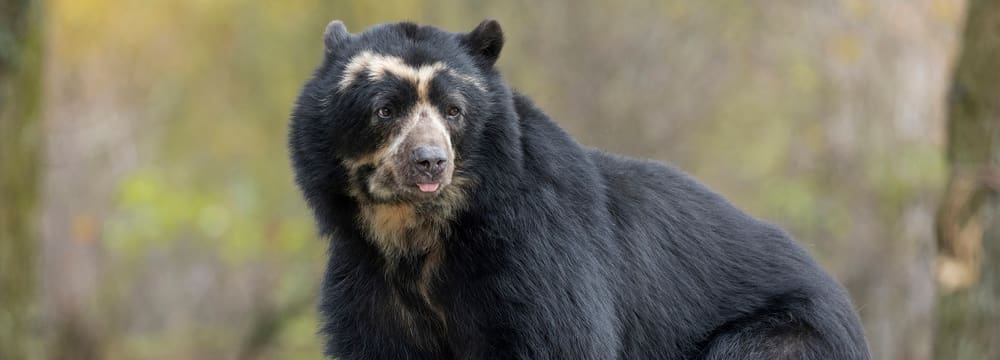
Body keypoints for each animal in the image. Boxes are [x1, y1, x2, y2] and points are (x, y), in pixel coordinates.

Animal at [286, 19, 872, 360]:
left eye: (454, 111)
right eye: (385, 110)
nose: (431, 162)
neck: (417, 232)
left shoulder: (539, 252)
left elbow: (558, 340)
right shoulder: (365, 276)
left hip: (786, 337)